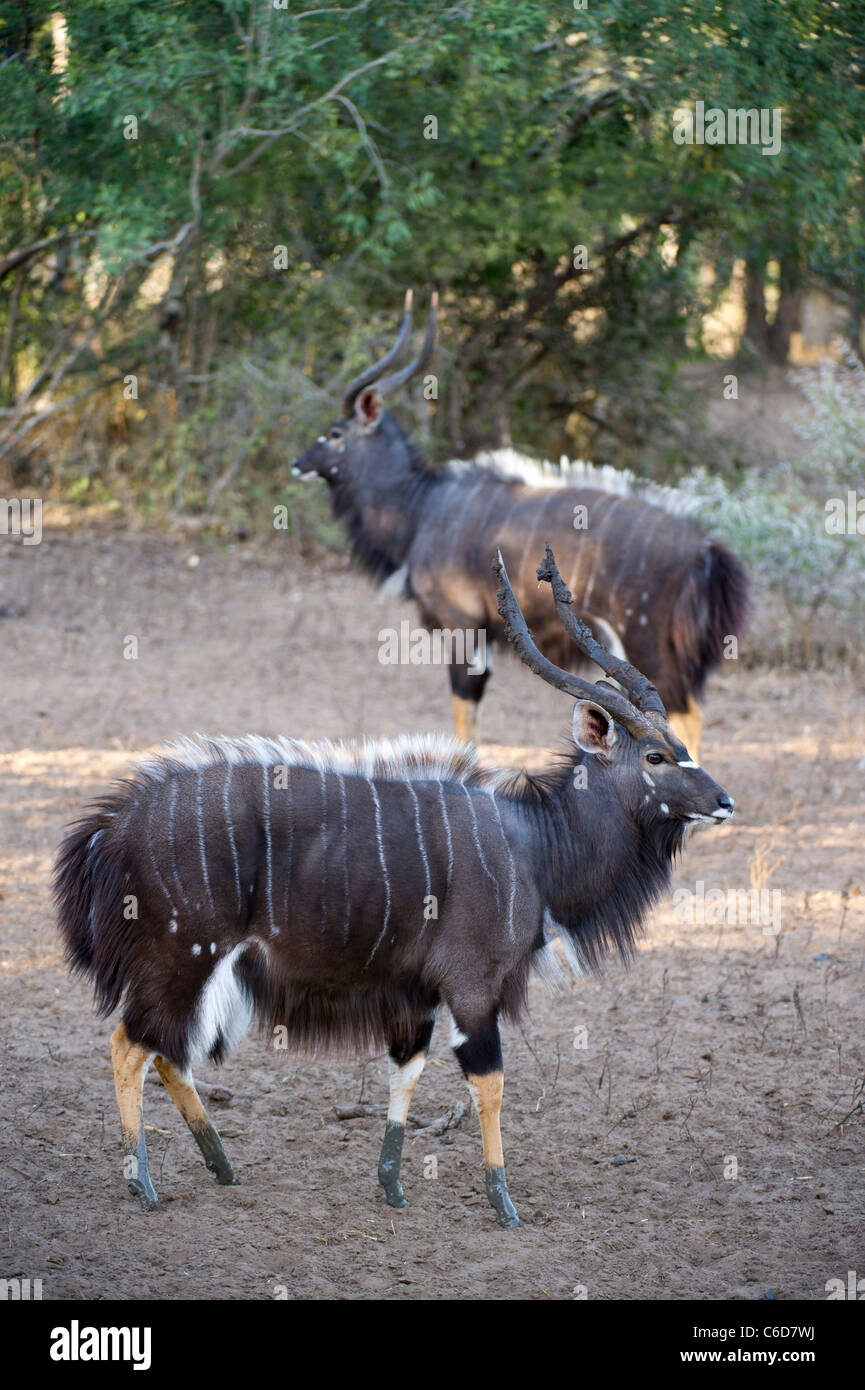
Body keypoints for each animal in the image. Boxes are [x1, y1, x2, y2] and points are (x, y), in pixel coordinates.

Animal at [52, 544, 734, 1228]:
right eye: (655, 756)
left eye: (679, 745)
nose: (724, 802)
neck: (535, 845)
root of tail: (113, 827)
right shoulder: (471, 985)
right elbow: (489, 1082)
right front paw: (503, 1203)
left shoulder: (417, 994)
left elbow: (406, 1070)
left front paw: (392, 1185)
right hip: (183, 954)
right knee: (130, 1042)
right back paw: (143, 1183)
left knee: (167, 1049)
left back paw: (222, 1167)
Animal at [293, 286, 750, 756]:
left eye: (334, 433)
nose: (298, 463)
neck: (421, 507)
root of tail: (706, 550)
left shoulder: (463, 624)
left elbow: (464, 709)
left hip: (649, 649)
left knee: (681, 720)